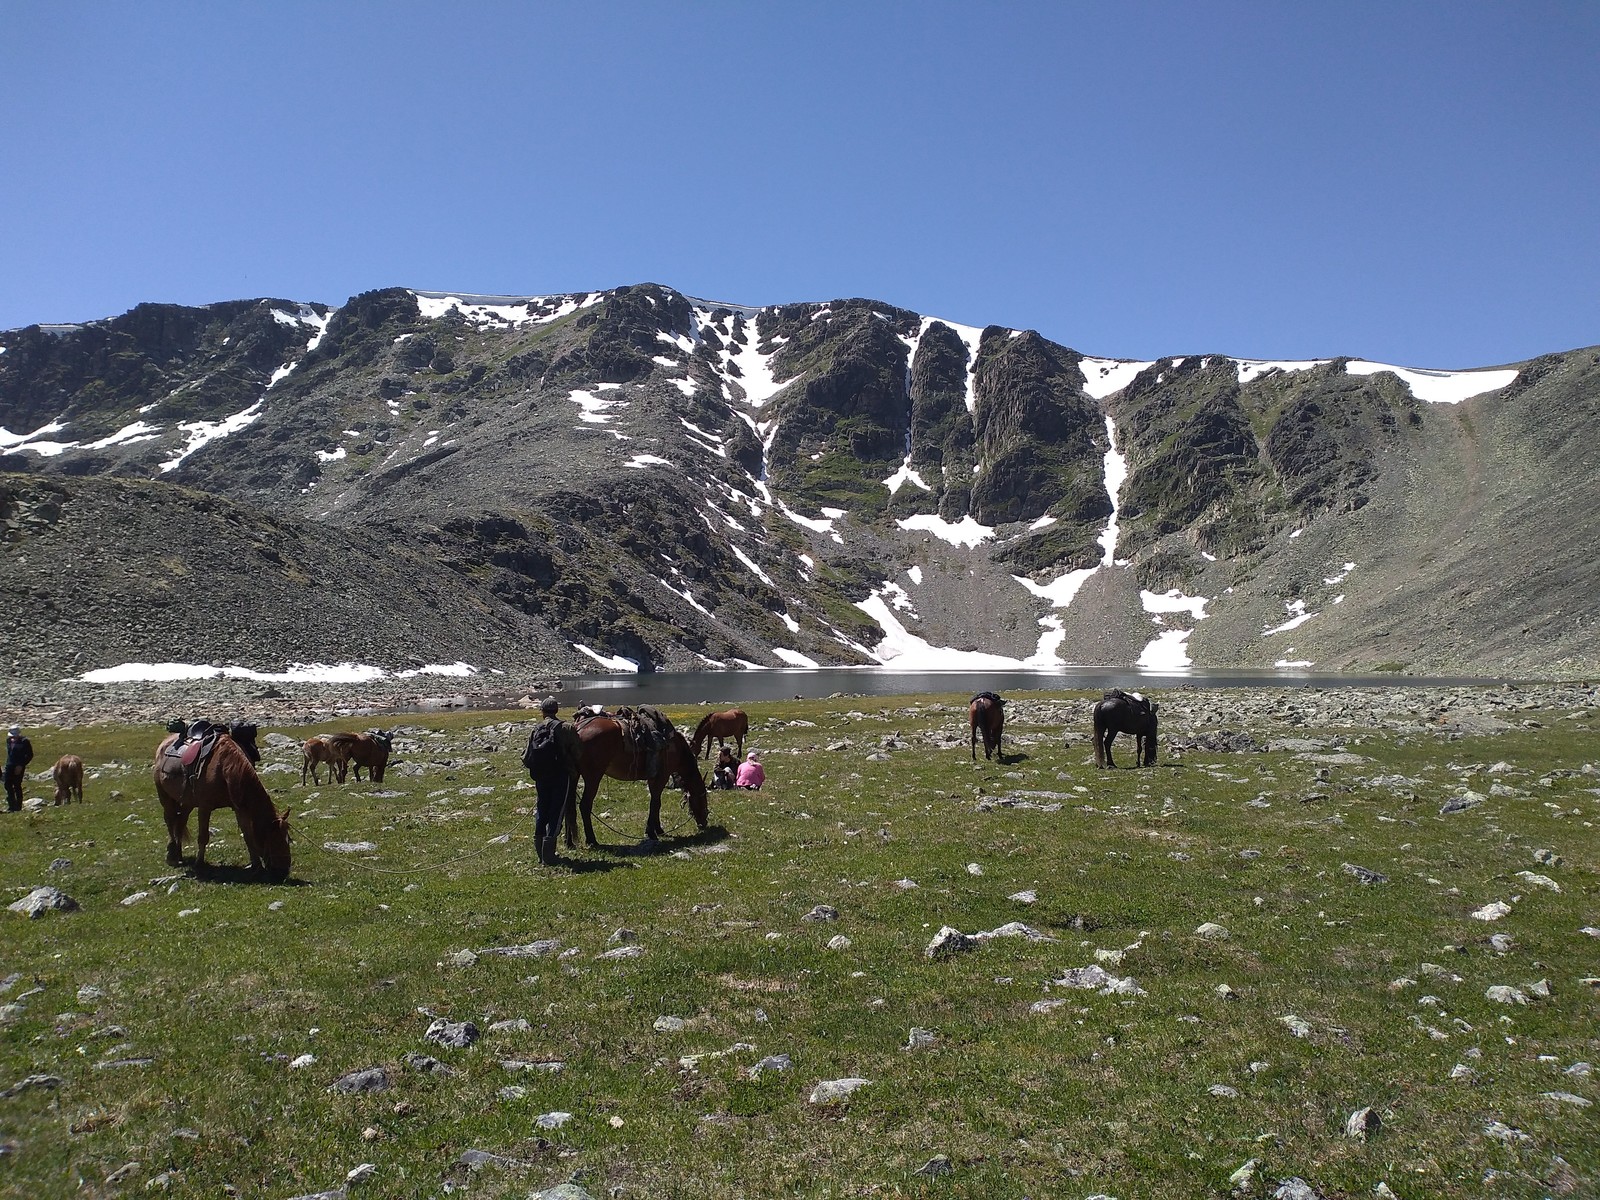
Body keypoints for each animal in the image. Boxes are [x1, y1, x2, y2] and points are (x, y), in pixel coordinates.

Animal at [157, 729, 296, 889]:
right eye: (276, 840)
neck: (225, 769)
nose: (283, 872)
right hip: (165, 796)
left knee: (180, 822)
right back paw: (172, 855)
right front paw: (199, 864)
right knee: (170, 820)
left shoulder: (239, 807)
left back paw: (179, 855)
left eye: (288, 839)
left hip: (187, 802)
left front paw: (257, 866)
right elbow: (203, 837)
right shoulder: (205, 807)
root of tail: (165, 742)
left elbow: (248, 835)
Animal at [566, 720, 710, 851]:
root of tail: (578, 728)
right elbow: (655, 803)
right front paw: (652, 832)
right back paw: (592, 840)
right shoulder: (661, 778)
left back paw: (569, 842)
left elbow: (656, 803)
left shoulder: (653, 779)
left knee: (568, 807)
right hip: (593, 778)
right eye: (704, 800)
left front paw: (658, 829)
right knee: (584, 806)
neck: (676, 749)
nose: (704, 823)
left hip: (573, 776)